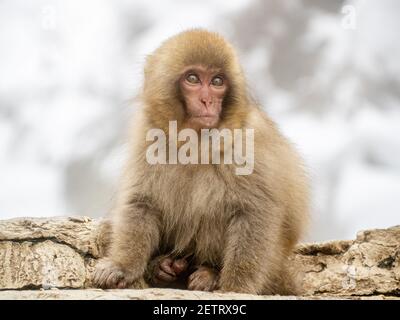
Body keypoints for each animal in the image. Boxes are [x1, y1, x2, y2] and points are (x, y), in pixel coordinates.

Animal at [93, 28, 310, 294]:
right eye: (193, 78)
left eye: (217, 82)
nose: (208, 101)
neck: (194, 140)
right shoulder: (147, 133)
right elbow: (142, 201)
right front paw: (122, 265)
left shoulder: (251, 139)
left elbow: (255, 210)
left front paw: (234, 287)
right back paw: (164, 267)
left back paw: (209, 273)